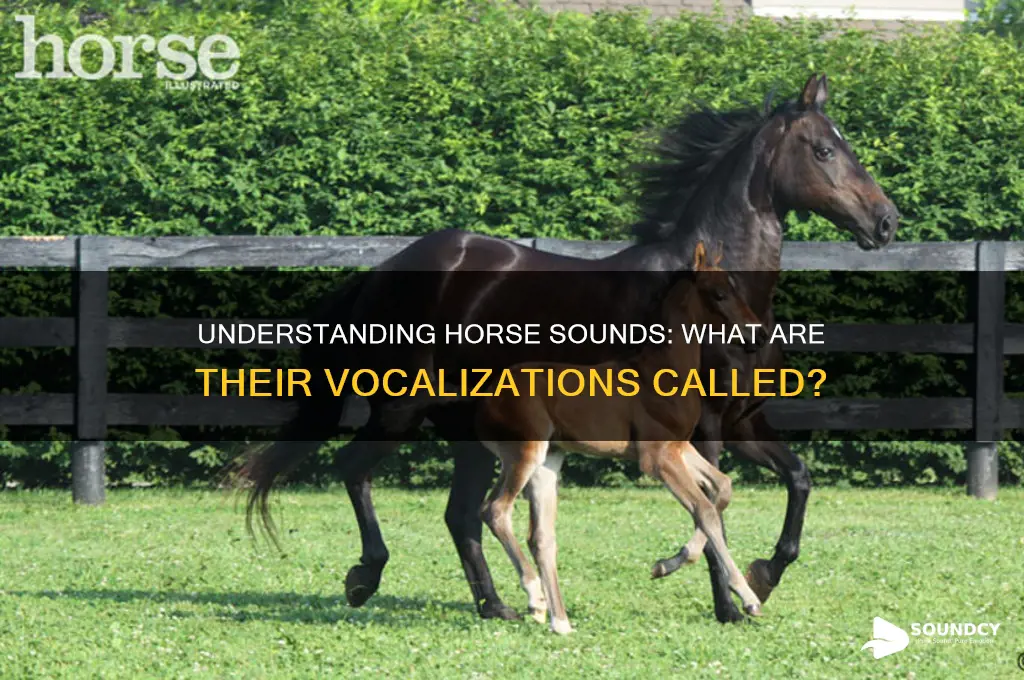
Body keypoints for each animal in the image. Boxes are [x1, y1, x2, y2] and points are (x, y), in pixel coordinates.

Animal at [475, 243, 764, 633]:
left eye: (736, 288)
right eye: (719, 294)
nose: (756, 335)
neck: (664, 370)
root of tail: (485, 398)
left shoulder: (678, 447)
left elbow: (722, 488)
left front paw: (665, 564)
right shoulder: (657, 459)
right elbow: (704, 509)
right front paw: (747, 597)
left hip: (548, 462)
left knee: (541, 536)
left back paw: (560, 622)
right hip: (525, 454)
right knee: (496, 511)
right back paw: (535, 598)